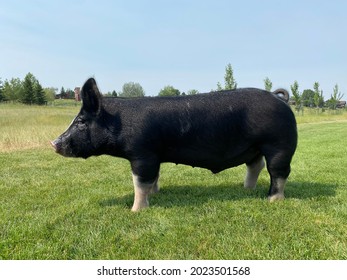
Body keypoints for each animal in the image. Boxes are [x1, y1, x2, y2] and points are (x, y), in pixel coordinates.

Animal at [51, 77, 296, 211]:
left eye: (81, 122)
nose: (53, 143)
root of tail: (280, 98)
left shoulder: (142, 153)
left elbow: (139, 181)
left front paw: (135, 211)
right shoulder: (155, 155)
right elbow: (153, 178)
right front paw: (156, 194)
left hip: (279, 144)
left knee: (278, 172)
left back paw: (272, 200)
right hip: (255, 147)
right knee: (256, 166)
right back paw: (246, 189)